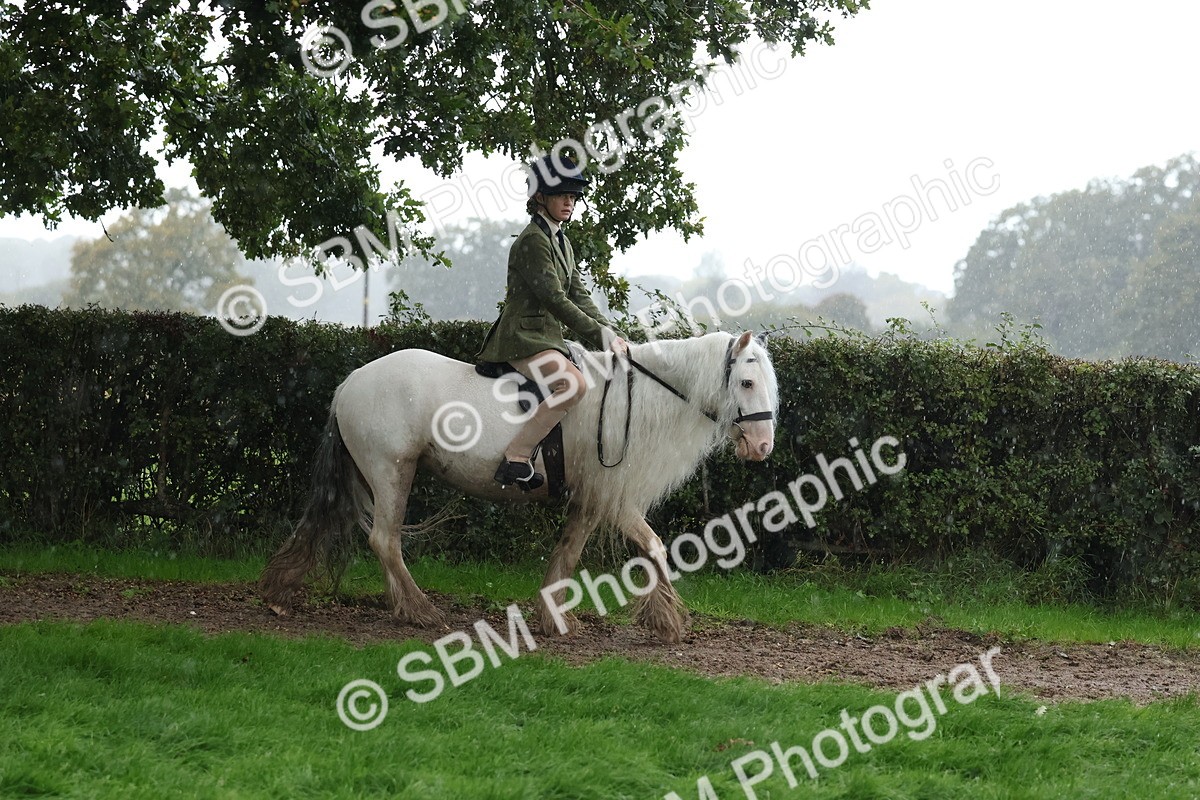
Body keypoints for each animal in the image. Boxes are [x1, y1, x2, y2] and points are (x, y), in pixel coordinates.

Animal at [259, 330, 778, 643]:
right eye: (746, 382)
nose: (763, 446)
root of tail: (351, 382)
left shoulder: (590, 500)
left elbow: (567, 552)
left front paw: (553, 618)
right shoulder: (613, 496)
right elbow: (653, 546)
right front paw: (667, 620)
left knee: (363, 536)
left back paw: (390, 605)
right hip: (392, 471)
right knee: (384, 540)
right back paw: (422, 610)